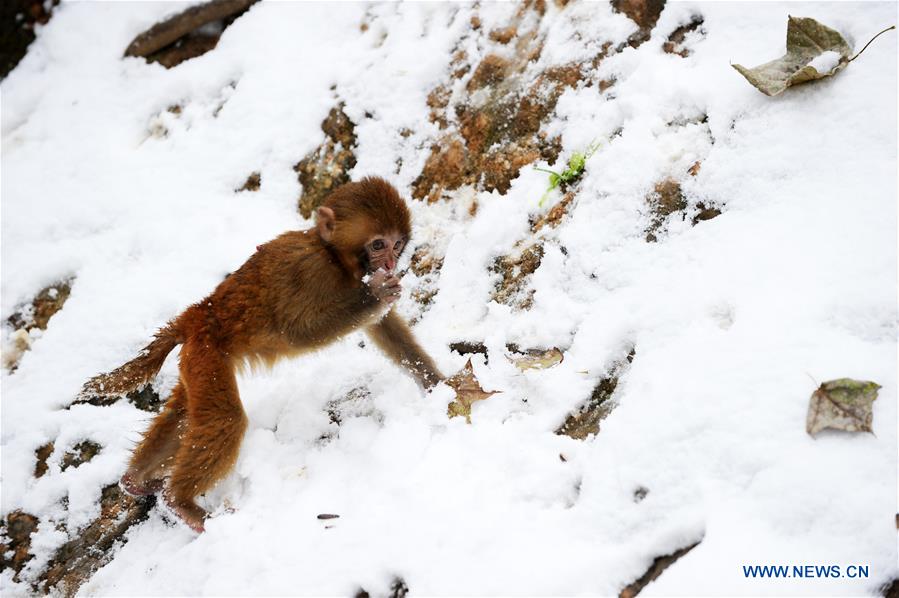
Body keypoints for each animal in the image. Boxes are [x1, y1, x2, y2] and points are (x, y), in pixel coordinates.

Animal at [81, 177, 443, 532]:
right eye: (379, 244)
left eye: (397, 244)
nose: (392, 262)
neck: (332, 256)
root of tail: (198, 313)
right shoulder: (308, 270)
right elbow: (295, 330)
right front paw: (377, 293)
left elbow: (380, 325)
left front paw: (437, 384)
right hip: (208, 354)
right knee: (226, 419)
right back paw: (180, 503)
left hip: (196, 360)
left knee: (184, 415)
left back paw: (136, 480)